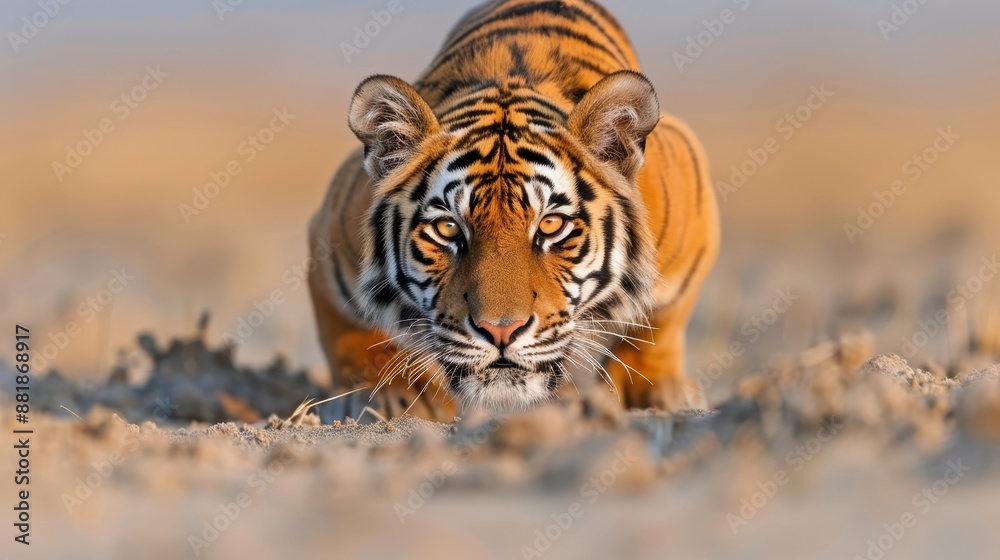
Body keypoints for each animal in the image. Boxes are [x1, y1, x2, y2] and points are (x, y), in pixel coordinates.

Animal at [308, 0, 719, 421]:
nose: (501, 331)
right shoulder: (331, 241)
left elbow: (659, 321)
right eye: (448, 229)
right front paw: (390, 396)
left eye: (551, 225)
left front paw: (652, 389)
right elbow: (350, 330)